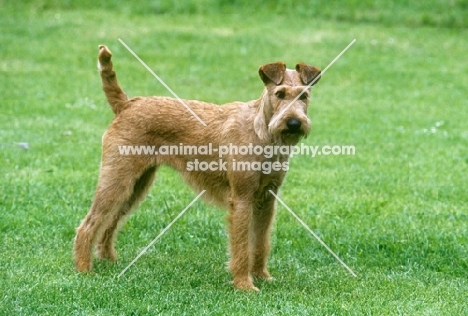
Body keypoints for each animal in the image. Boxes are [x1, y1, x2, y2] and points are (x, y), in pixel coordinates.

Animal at [74, 44, 322, 292]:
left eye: (304, 95)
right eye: (279, 94)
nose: (293, 123)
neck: (262, 133)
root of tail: (126, 104)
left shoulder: (267, 199)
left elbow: (261, 243)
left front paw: (262, 276)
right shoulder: (242, 198)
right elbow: (242, 246)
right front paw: (244, 285)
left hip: (135, 186)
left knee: (110, 222)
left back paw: (108, 259)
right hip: (116, 180)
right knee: (88, 224)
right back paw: (84, 269)